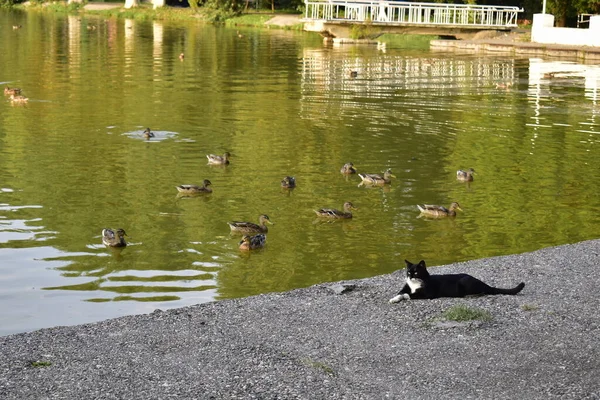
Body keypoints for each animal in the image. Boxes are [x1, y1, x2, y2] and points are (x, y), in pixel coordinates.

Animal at [390, 260, 524, 304]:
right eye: (408, 272)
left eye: (416, 273)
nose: (410, 277)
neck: (414, 285)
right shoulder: (405, 287)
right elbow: (400, 293)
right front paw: (393, 299)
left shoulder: (427, 294)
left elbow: (408, 294)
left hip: (465, 282)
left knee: (483, 291)